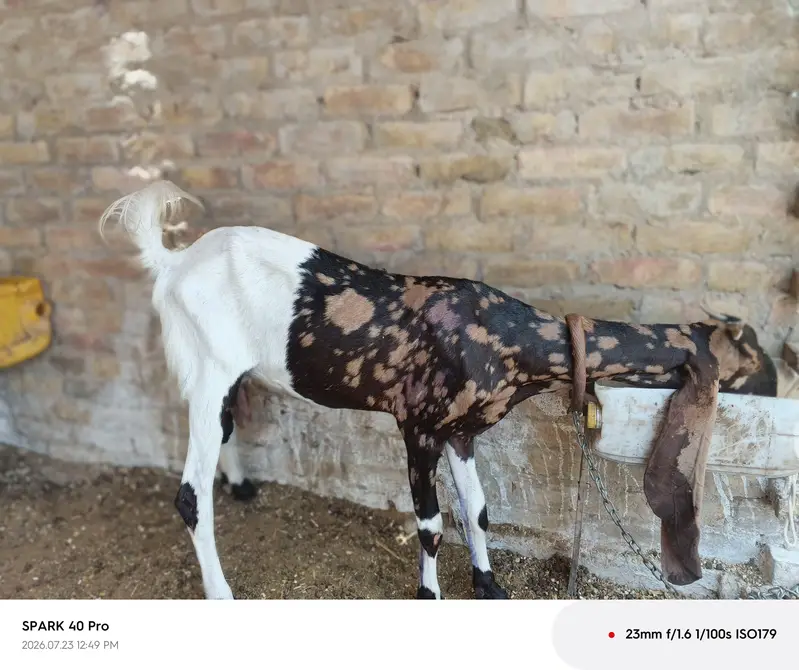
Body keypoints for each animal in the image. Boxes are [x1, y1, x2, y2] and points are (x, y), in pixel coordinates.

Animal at [99, 180, 777, 600]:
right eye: (759, 364)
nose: (775, 393)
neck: (508, 337)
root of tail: (173, 262)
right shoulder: (419, 425)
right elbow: (429, 523)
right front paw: (430, 593)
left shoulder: (464, 430)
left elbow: (477, 509)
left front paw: (490, 585)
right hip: (207, 367)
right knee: (189, 495)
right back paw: (222, 592)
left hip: (227, 375)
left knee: (225, 433)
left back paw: (242, 487)